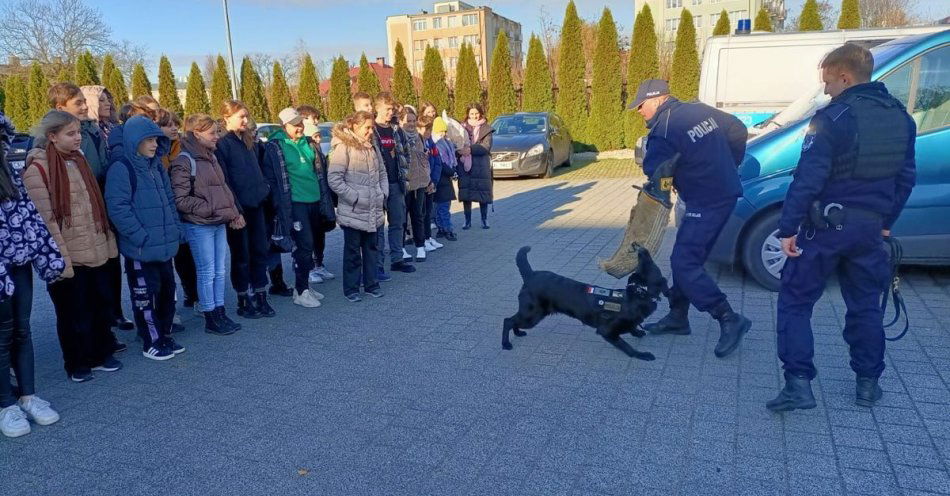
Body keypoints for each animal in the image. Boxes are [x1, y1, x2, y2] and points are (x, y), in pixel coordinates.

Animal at [506, 245, 668, 358]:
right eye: (649, 264)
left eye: (645, 264)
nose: (640, 248)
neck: (638, 295)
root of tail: (531, 275)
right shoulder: (606, 331)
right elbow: (626, 346)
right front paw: (641, 354)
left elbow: (632, 327)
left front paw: (637, 332)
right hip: (532, 315)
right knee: (508, 321)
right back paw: (506, 344)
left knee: (513, 320)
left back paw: (517, 333)